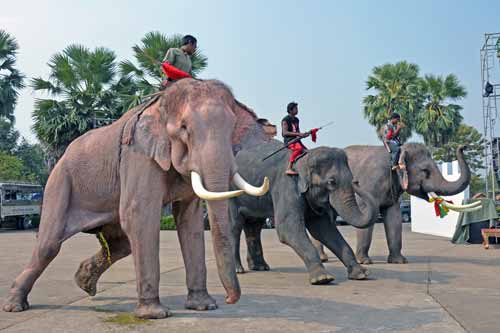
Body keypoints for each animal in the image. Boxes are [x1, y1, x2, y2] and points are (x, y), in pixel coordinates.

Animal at [2, 79, 270, 318]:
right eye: (184, 128)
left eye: (232, 128)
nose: (229, 299)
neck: (161, 105)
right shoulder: (138, 155)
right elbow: (140, 216)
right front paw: (154, 314)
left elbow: (189, 222)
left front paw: (204, 307)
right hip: (60, 183)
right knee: (48, 245)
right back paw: (15, 306)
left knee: (121, 244)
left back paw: (84, 284)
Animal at [230, 139, 378, 284]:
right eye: (331, 182)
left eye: (352, 179)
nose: (356, 182)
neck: (304, 157)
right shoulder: (286, 185)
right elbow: (287, 229)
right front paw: (322, 279)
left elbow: (323, 229)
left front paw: (361, 274)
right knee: (234, 227)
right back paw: (238, 270)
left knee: (254, 226)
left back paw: (261, 267)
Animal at [314, 144, 470, 264]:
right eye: (425, 171)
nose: (463, 147)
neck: (396, 154)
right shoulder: (369, 184)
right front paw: (365, 262)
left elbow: (394, 218)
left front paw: (400, 261)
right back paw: (323, 259)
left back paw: (323, 258)